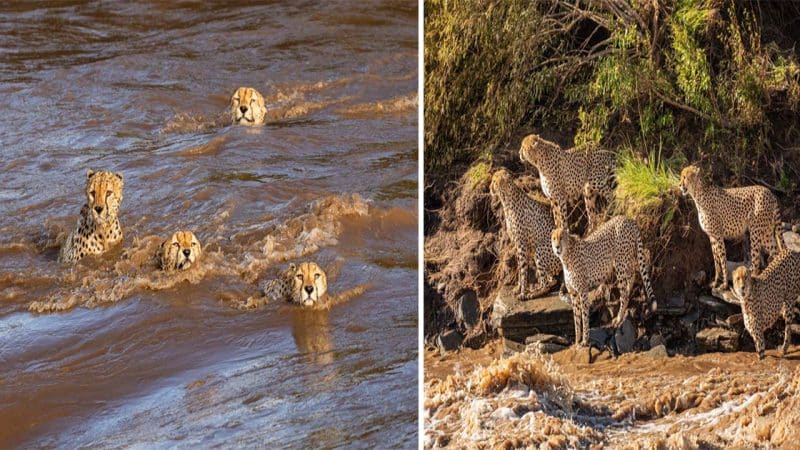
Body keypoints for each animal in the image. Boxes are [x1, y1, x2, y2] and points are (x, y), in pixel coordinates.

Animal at [488, 169, 564, 298]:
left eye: (494, 181)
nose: (489, 187)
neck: (506, 198)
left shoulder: (521, 244)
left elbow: (523, 270)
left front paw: (522, 293)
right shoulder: (519, 244)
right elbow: (520, 268)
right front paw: (518, 288)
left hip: (539, 249)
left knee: (546, 284)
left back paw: (534, 293)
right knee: (550, 280)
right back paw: (536, 288)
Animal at [552, 216, 656, 346]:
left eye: (561, 237)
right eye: (554, 238)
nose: (557, 247)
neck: (566, 256)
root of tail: (626, 218)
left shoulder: (583, 292)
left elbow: (584, 317)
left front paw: (585, 340)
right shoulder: (573, 294)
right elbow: (576, 319)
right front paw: (577, 341)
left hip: (620, 263)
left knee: (624, 294)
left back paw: (619, 318)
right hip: (626, 260)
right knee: (632, 274)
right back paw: (629, 291)